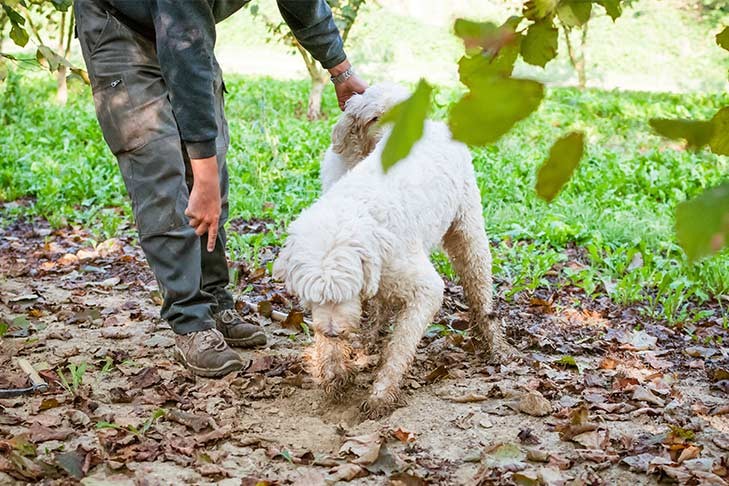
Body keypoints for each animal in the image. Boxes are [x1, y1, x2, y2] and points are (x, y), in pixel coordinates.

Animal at [274, 83, 512, 418]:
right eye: (313, 298)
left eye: (344, 293)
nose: (333, 331)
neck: (356, 210)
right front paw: (335, 370)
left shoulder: (424, 289)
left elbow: (401, 346)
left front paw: (381, 394)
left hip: (468, 233)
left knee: (479, 290)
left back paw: (495, 343)